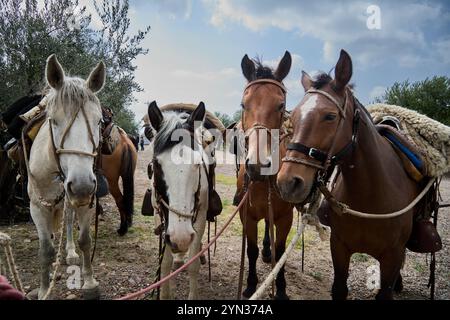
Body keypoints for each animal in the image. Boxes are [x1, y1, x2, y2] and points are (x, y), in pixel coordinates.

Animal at [28, 55, 105, 300]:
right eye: (53, 121)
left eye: (99, 122)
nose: (81, 187)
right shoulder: (37, 207)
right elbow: (45, 250)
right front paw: (44, 290)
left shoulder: (86, 203)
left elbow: (85, 241)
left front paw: (89, 282)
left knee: (69, 220)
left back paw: (70, 252)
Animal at [147, 101, 212, 298]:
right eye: (156, 164)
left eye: (198, 163)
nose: (181, 238)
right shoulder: (161, 216)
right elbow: (165, 264)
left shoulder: (200, 217)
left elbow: (193, 264)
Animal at [276, 48, 420, 298]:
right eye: (292, 117)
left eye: (330, 116)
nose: (287, 183)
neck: (372, 197)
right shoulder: (339, 247)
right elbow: (339, 288)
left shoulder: (392, 256)